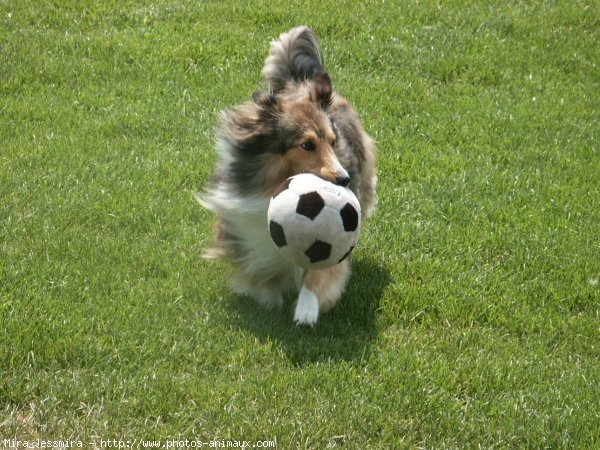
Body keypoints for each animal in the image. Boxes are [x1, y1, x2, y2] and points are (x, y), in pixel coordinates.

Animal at [198, 25, 376, 326]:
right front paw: (268, 299)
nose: (345, 180)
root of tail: (298, 80)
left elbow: (321, 274)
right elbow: (257, 277)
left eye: (332, 141)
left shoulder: (334, 247)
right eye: (307, 145)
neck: (273, 189)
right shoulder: (242, 230)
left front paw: (306, 310)